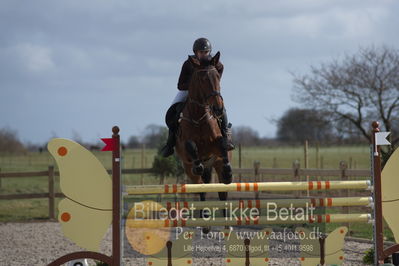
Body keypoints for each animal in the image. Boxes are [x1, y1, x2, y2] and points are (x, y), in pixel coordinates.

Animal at [175, 51, 234, 230]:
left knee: (221, 190)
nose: (218, 108)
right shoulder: (185, 146)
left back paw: (226, 224)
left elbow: (221, 144)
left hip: (215, 164)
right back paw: (205, 221)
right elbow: (191, 145)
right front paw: (198, 164)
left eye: (217, 76)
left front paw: (228, 171)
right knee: (200, 186)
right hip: (189, 170)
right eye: (202, 80)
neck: (199, 116)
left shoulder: (215, 146)